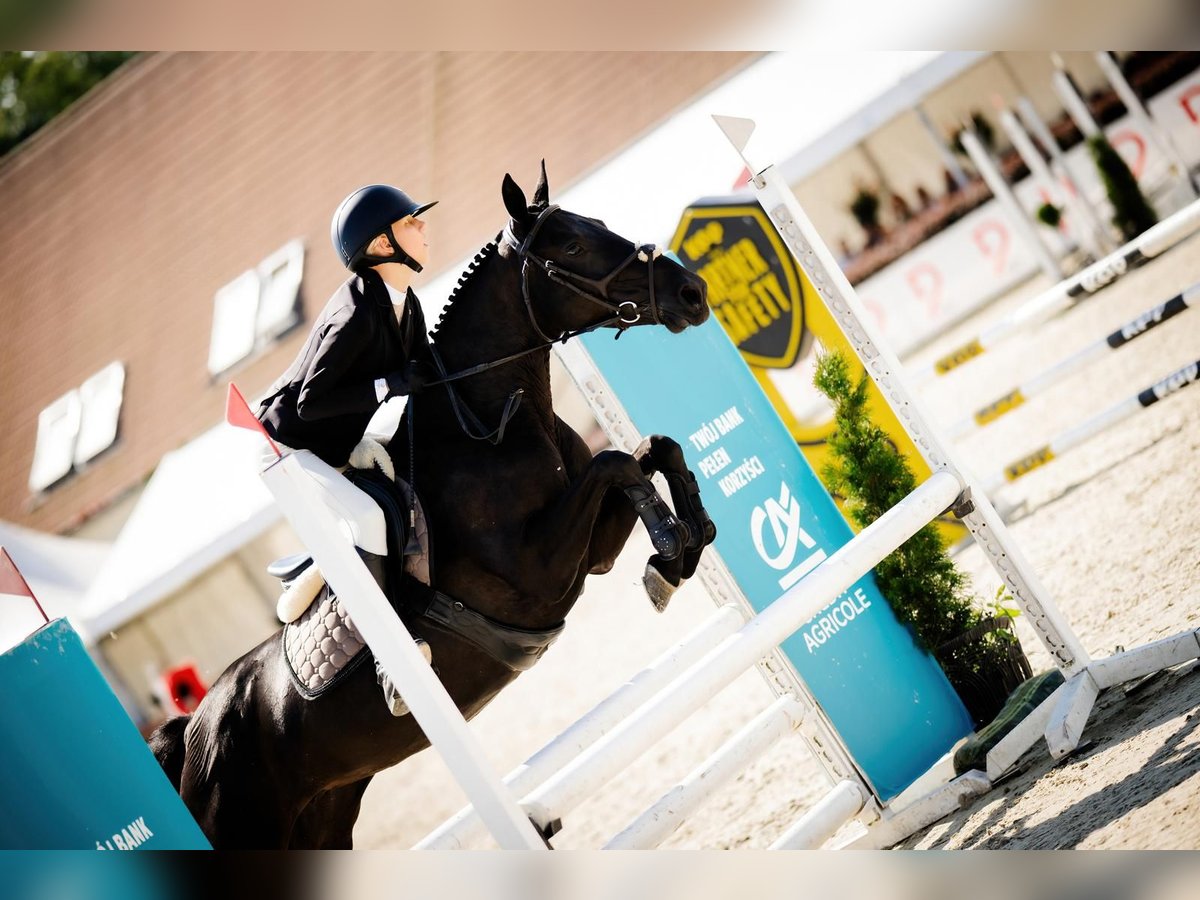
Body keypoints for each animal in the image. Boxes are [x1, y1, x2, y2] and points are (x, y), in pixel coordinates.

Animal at [148, 163, 714, 848]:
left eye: (596, 227)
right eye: (573, 246)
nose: (692, 292)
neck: (491, 420)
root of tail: (192, 730)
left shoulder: (590, 552)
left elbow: (652, 450)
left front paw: (689, 542)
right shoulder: (534, 574)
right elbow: (617, 464)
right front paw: (669, 551)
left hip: (324, 818)